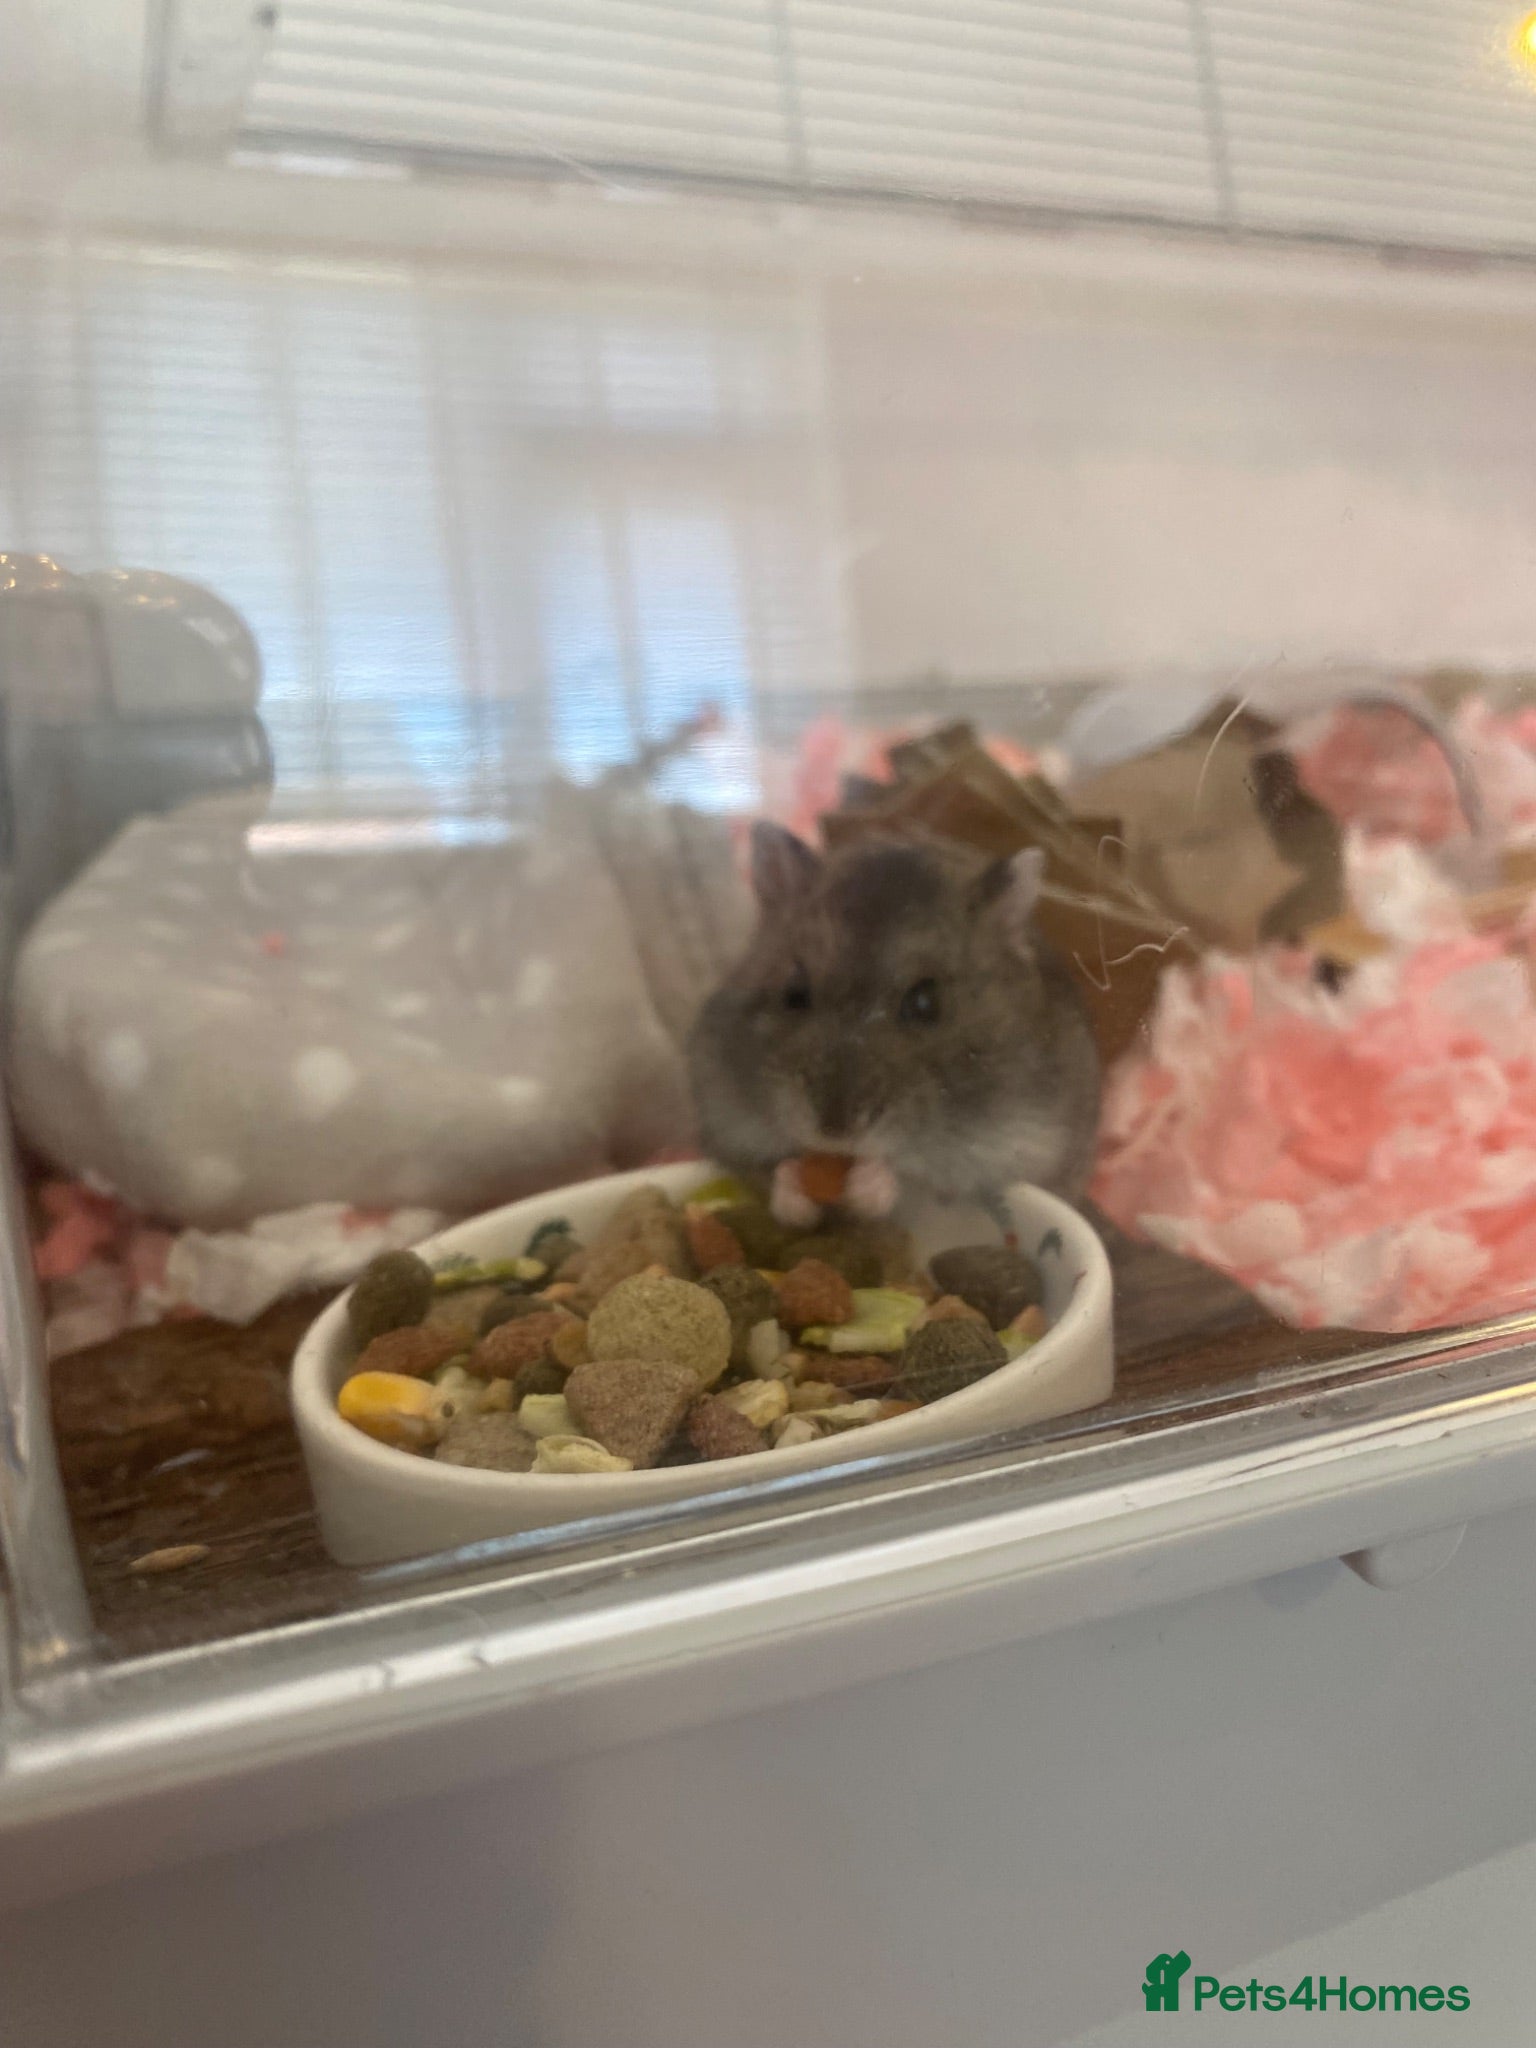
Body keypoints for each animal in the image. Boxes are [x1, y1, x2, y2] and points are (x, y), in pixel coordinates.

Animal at [686, 823, 1101, 1226]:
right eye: (794, 993)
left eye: (926, 1003)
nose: (834, 1131)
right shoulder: (723, 1121)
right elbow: (767, 1171)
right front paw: (794, 1188)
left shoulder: (1009, 1150)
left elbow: (918, 1182)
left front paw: (870, 1182)